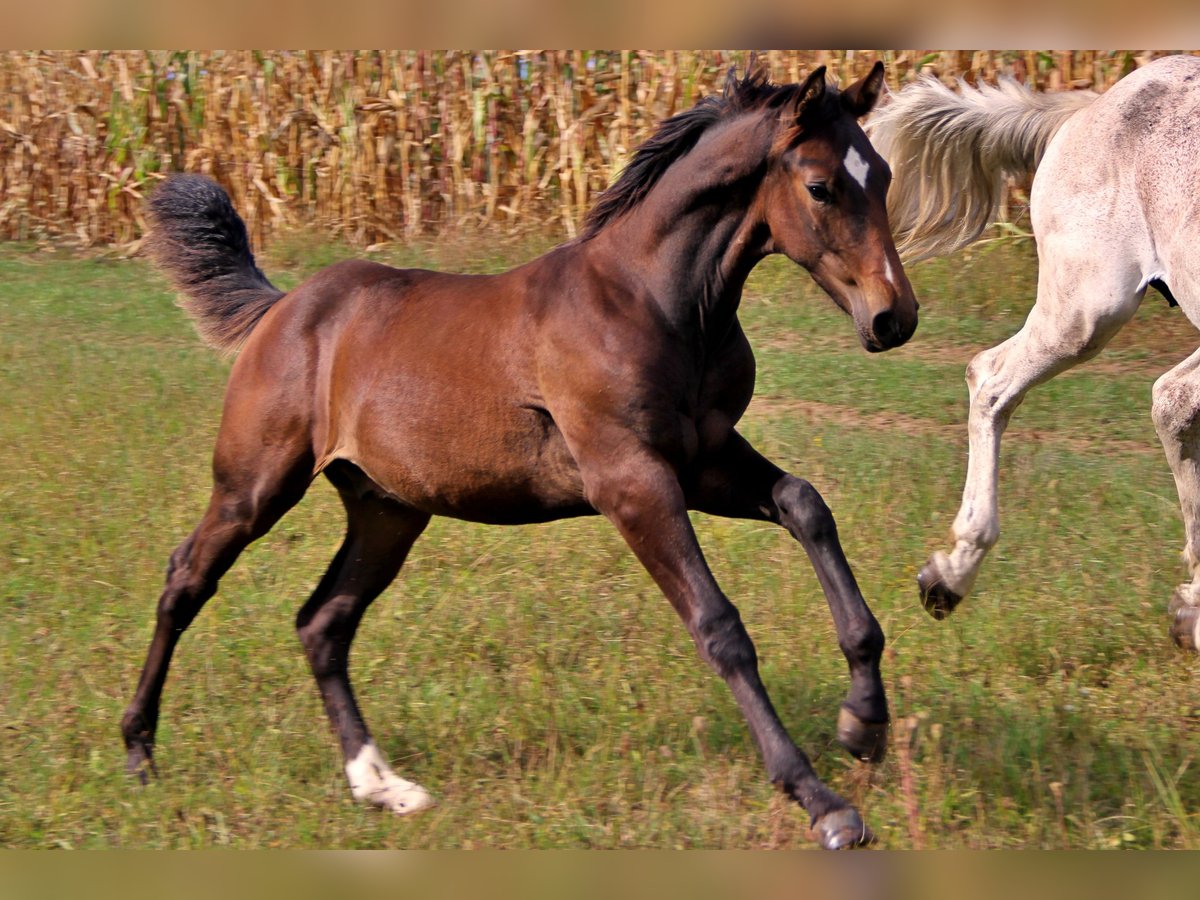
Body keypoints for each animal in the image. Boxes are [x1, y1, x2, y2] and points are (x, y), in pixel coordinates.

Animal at [121, 63, 916, 854]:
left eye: (882, 175)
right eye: (820, 187)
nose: (894, 318)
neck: (656, 302)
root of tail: (281, 309)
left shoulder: (704, 458)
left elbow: (805, 503)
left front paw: (863, 722)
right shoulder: (629, 478)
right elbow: (719, 626)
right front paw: (821, 800)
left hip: (387, 509)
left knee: (323, 622)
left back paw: (381, 786)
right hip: (255, 484)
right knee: (186, 579)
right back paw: (139, 751)